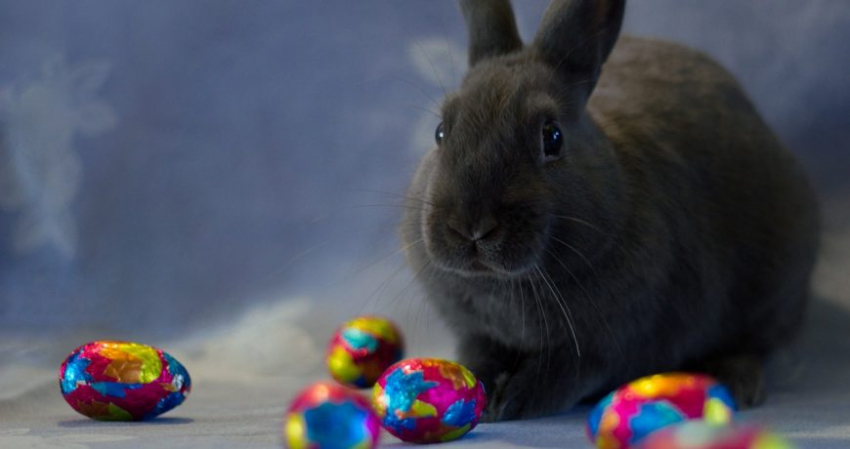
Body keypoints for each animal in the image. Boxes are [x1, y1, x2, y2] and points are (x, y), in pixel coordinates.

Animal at [400, 0, 820, 420]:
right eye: (441, 132)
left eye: (552, 137)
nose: (471, 228)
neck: (504, 283)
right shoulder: (476, 332)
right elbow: (480, 357)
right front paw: (479, 391)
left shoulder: (614, 342)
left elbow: (567, 373)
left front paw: (515, 402)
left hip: (772, 292)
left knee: (753, 343)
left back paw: (735, 381)